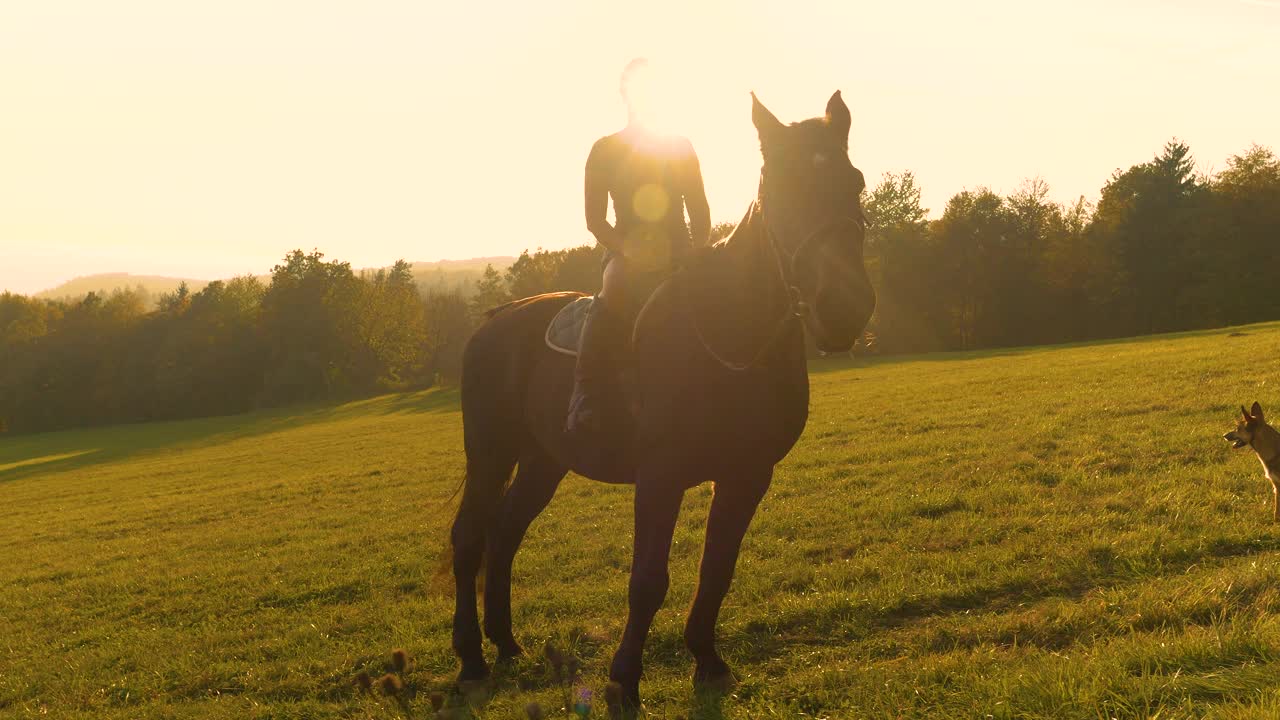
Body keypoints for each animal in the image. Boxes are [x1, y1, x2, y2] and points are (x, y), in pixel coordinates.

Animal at [445, 90, 875, 707]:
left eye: (855, 182)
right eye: (779, 186)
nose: (842, 308)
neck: (727, 332)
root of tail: (496, 320)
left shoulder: (749, 474)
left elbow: (717, 569)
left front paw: (707, 659)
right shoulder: (660, 476)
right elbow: (648, 580)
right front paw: (624, 679)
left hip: (543, 460)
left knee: (504, 532)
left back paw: (505, 643)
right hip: (490, 452)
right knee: (468, 540)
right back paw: (472, 659)